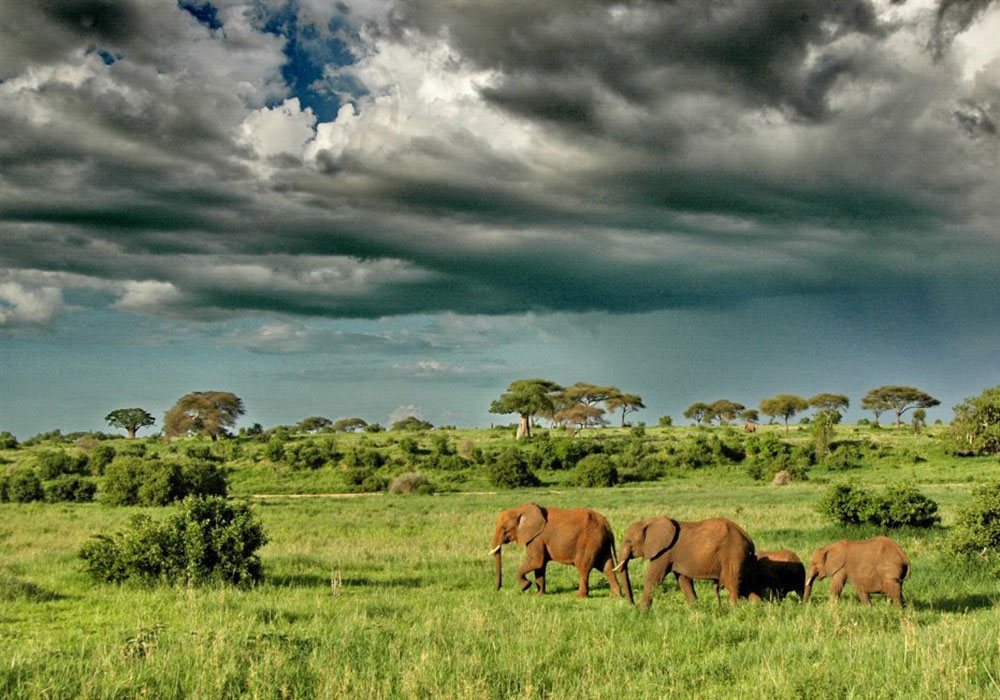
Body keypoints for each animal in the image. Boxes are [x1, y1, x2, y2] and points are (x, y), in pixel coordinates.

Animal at [490, 500, 628, 600]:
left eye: (504, 529)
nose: (497, 589)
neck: (520, 509)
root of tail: (608, 526)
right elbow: (540, 566)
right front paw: (540, 595)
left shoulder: (536, 539)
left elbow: (536, 562)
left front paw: (526, 586)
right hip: (601, 543)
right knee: (607, 567)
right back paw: (616, 595)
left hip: (589, 542)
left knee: (583, 567)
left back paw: (579, 597)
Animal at [612, 516, 752, 608]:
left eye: (628, 541)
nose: (632, 605)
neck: (648, 522)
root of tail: (748, 538)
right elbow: (684, 580)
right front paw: (694, 608)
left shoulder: (664, 553)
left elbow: (652, 578)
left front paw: (642, 610)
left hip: (733, 553)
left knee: (732, 583)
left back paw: (733, 609)